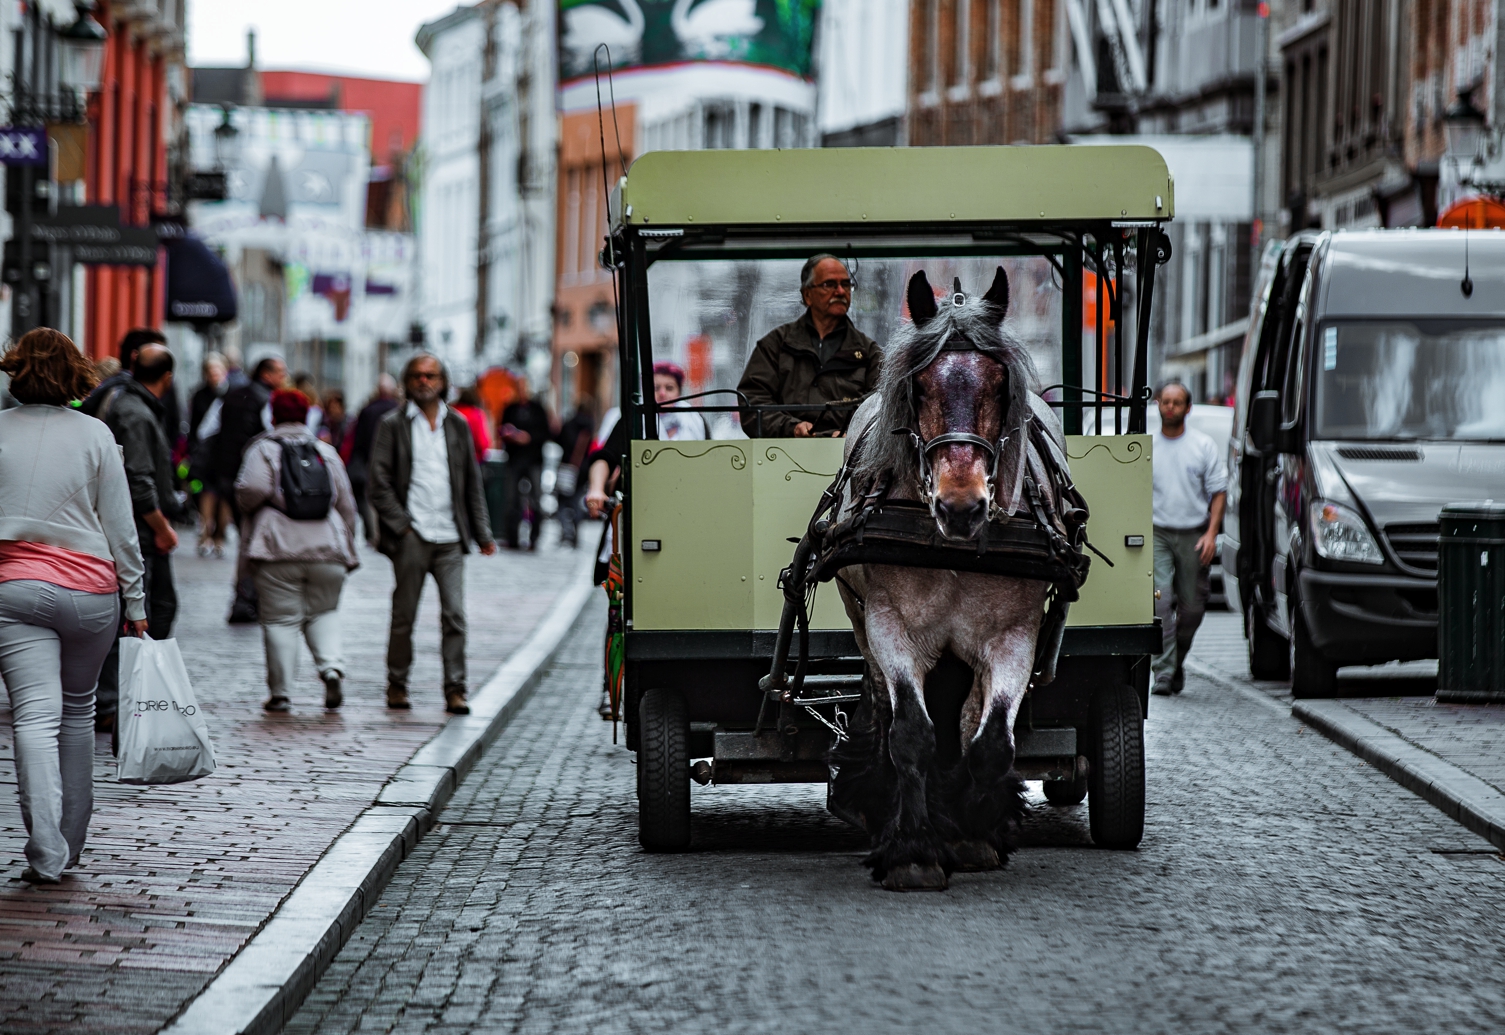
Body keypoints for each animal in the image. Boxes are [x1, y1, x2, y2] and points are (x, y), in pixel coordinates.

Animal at [824, 266, 1071, 890]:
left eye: (1000, 386)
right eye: (920, 387)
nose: (962, 506)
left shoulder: (1014, 636)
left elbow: (990, 744)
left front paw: (972, 831)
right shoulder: (889, 625)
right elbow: (911, 731)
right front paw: (912, 851)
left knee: (967, 719)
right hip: (861, 619)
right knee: (885, 706)